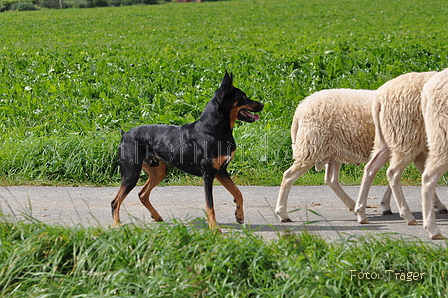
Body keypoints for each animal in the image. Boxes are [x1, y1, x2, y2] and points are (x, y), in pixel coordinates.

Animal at [112, 73, 264, 229]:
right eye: (243, 97)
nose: (262, 104)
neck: (214, 130)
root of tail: (124, 134)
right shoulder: (208, 175)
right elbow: (210, 205)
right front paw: (214, 228)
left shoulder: (221, 171)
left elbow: (238, 193)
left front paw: (239, 216)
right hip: (131, 175)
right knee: (115, 202)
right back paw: (117, 224)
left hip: (159, 171)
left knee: (142, 194)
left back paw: (156, 216)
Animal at [274, 88, 390, 221]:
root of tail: (300, 109)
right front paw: (386, 205)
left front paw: (386, 205)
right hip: (312, 147)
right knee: (288, 176)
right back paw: (282, 214)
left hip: (334, 152)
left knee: (331, 179)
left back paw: (352, 205)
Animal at [354, 71, 448, 230]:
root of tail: (379, 98)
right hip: (406, 136)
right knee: (394, 172)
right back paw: (408, 215)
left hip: (390, 140)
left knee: (370, 168)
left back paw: (362, 212)